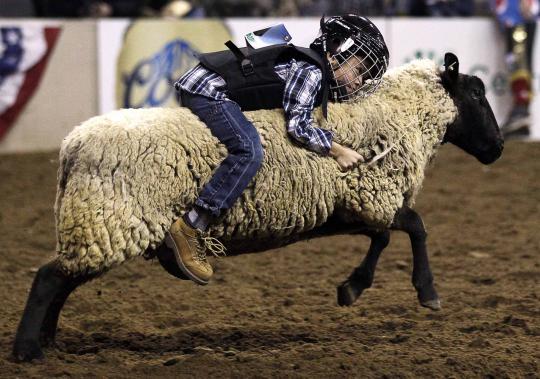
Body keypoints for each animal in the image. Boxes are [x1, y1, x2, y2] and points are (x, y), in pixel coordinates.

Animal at [11, 52, 502, 362]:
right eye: (478, 95)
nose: (498, 148)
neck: (401, 117)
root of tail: (72, 146)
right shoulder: (371, 195)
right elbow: (416, 226)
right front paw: (427, 292)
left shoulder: (353, 206)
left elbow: (385, 236)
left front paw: (352, 288)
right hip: (109, 220)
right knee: (49, 278)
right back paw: (27, 351)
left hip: (98, 222)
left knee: (62, 280)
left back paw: (48, 342)